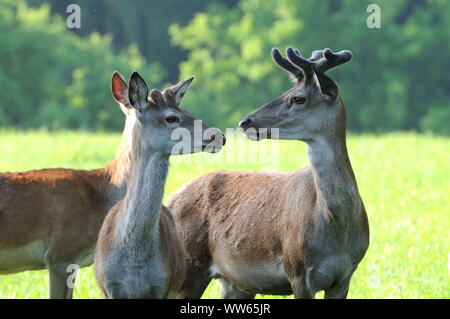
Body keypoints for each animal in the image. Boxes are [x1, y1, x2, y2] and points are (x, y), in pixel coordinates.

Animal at [167, 46, 370, 298]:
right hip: (189, 267)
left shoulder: (346, 275)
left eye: (298, 98)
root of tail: (170, 200)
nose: (246, 121)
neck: (337, 224)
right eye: (287, 91)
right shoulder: (297, 269)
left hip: (235, 282)